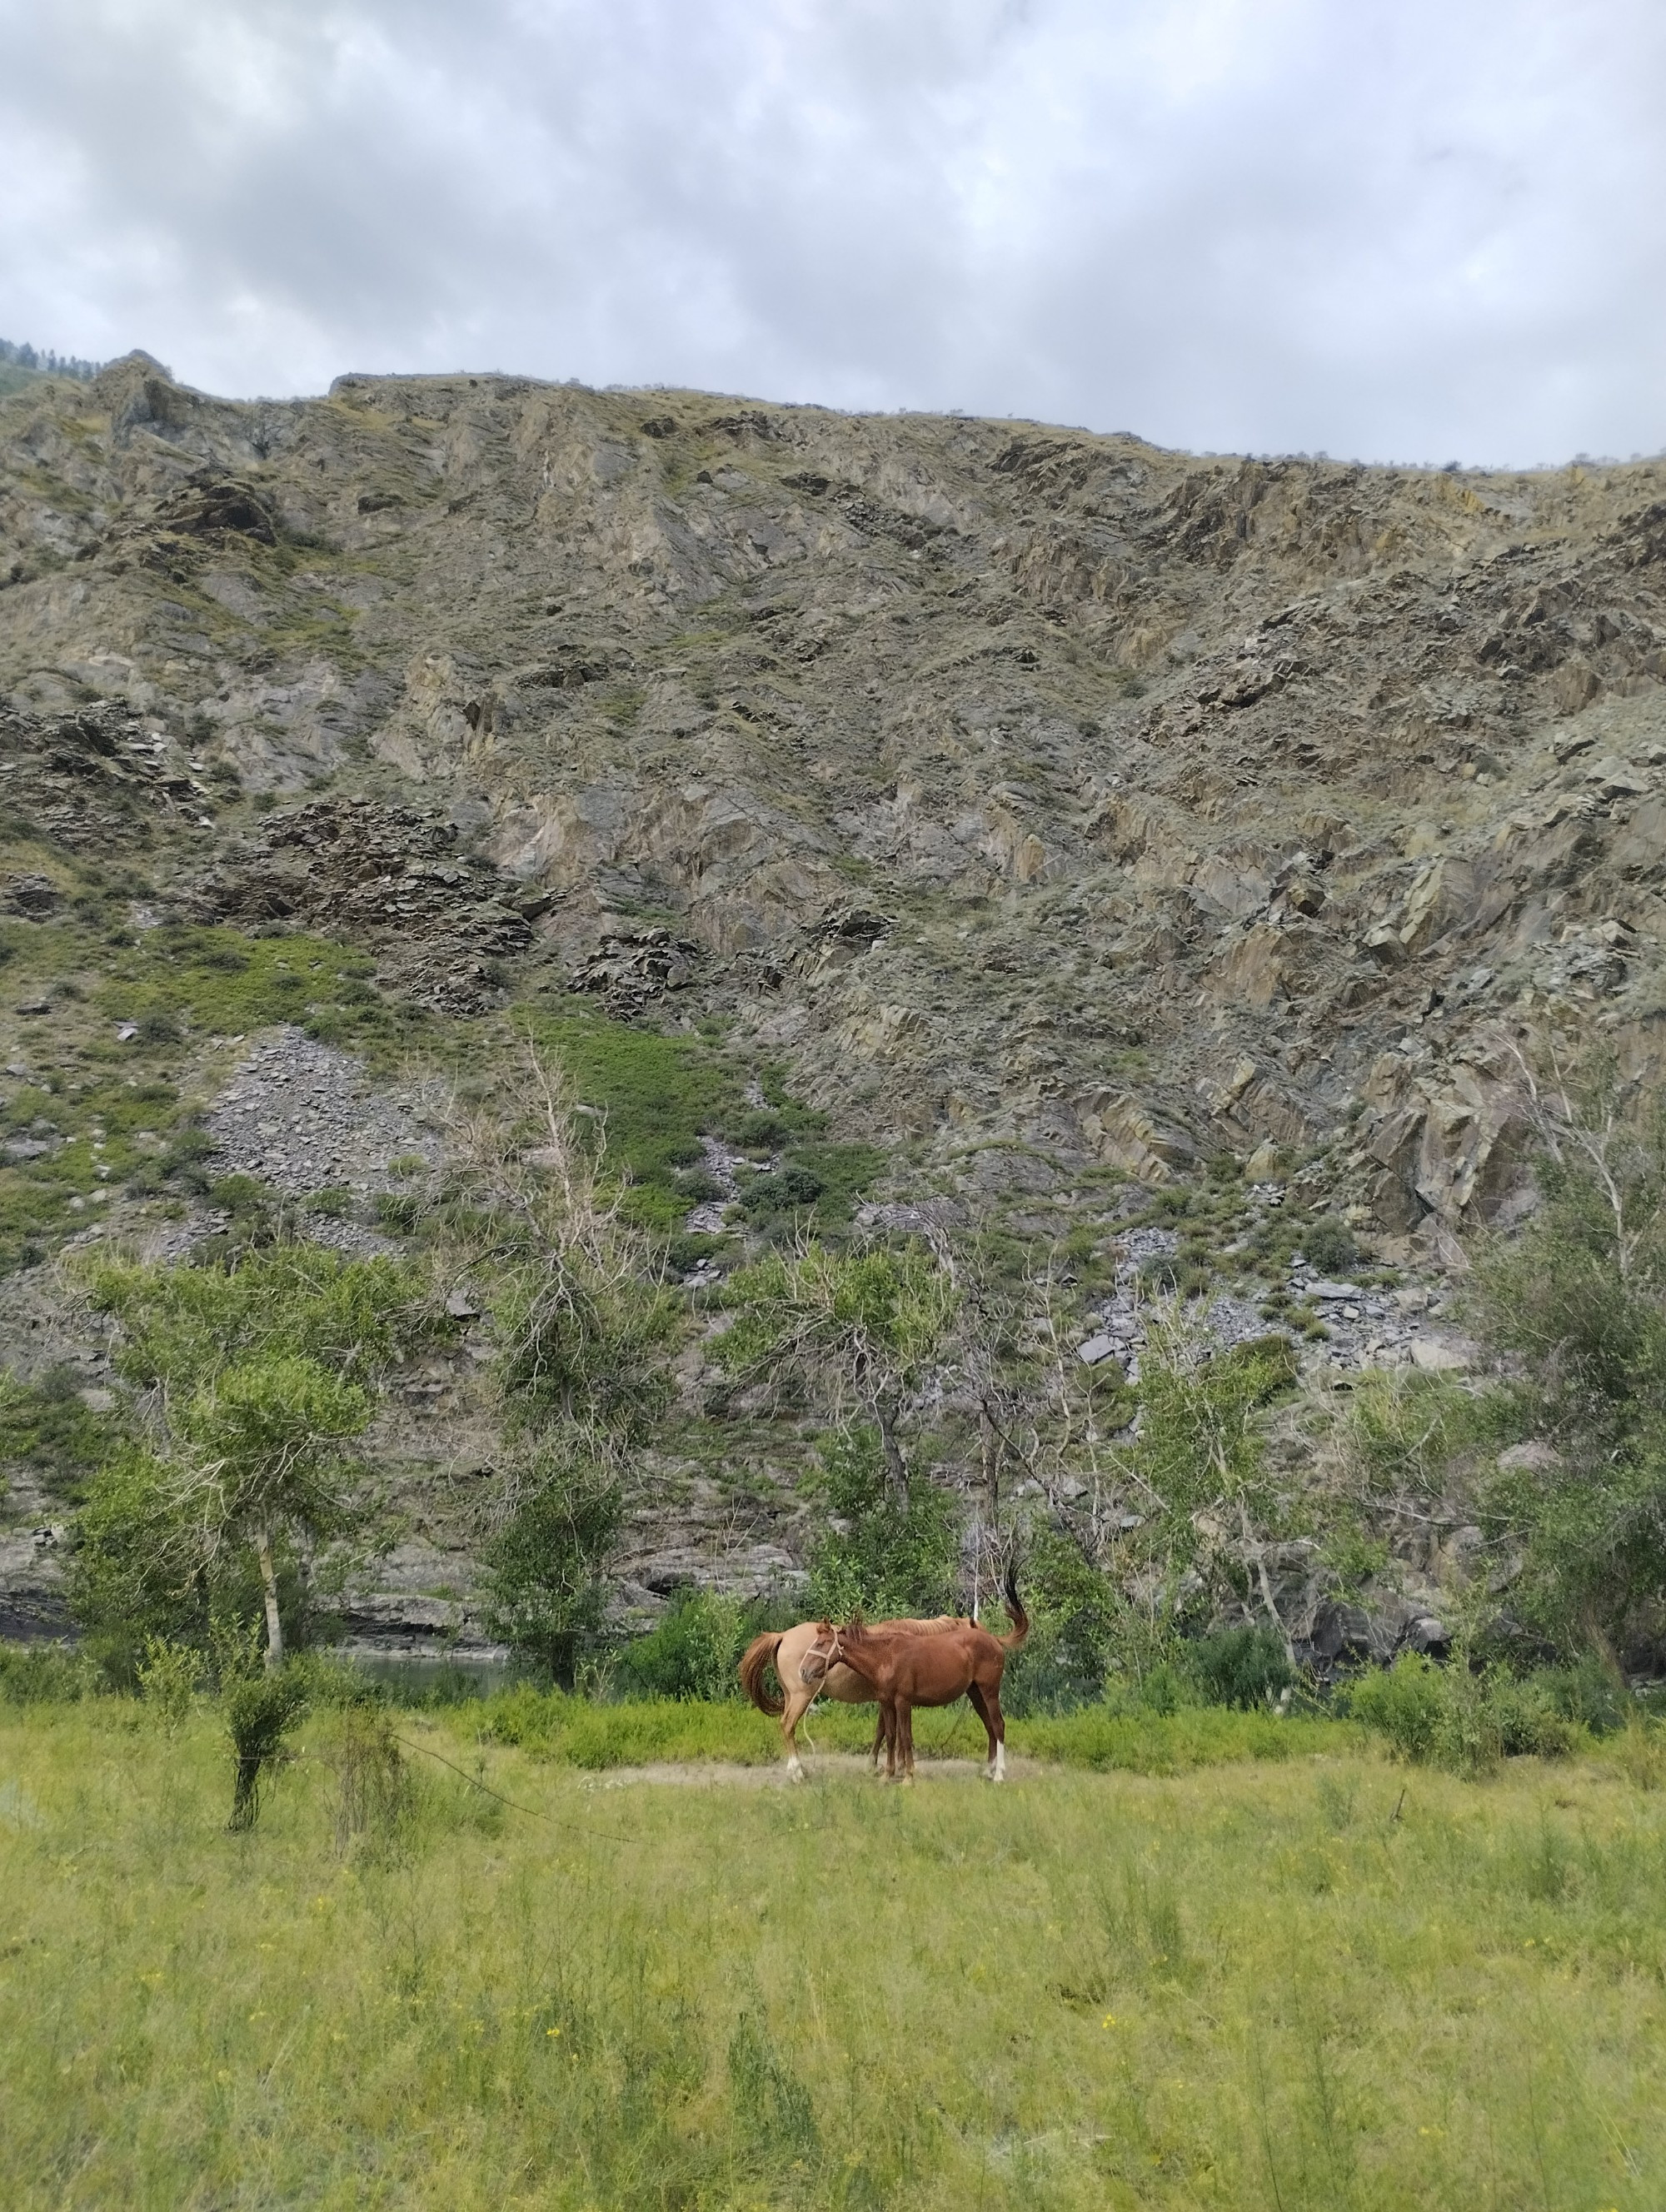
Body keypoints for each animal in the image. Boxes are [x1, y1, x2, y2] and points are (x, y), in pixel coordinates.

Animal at [739, 1610, 960, 1778]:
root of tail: (783, 1635)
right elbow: (890, 1732)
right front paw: (896, 1766)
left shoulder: (887, 1700)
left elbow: (883, 1730)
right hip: (802, 1697)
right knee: (787, 1725)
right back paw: (798, 1772)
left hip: (790, 1696)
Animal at [818, 1575, 1026, 1778]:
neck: (886, 1653)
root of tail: (995, 1641)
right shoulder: (889, 1700)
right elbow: (890, 1732)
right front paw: (892, 1768)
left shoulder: (897, 1700)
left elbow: (893, 1733)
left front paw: (897, 1768)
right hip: (978, 1693)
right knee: (991, 1726)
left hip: (984, 1693)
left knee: (996, 1726)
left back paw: (997, 1773)